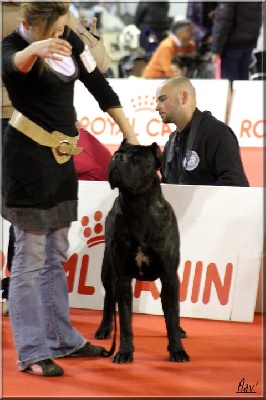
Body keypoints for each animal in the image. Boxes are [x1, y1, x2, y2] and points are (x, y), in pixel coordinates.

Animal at [94, 139, 190, 364]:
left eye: (139, 158)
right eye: (118, 152)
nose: (117, 157)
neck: (136, 207)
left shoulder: (169, 277)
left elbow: (172, 317)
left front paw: (177, 350)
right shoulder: (121, 278)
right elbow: (125, 322)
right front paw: (124, 352)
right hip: (108, 269)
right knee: (109, 298)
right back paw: (105, 327)